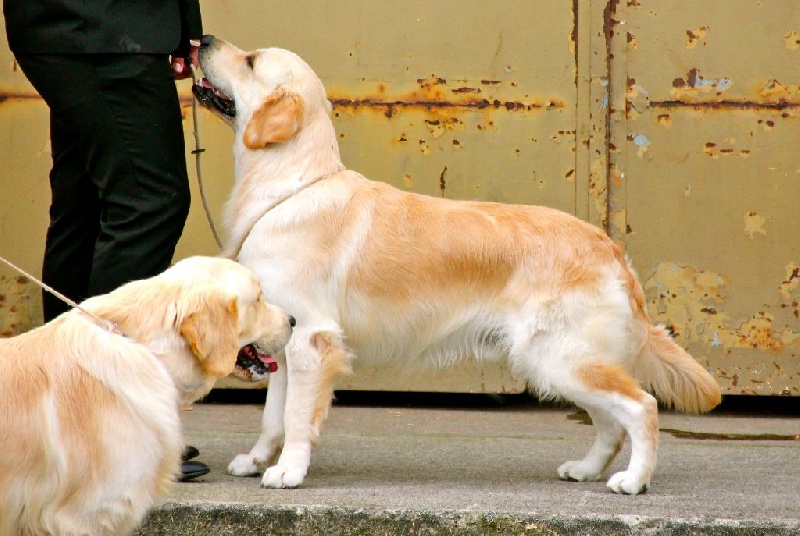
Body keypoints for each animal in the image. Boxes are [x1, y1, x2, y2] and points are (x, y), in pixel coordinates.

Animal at [195, 36, 722, 495]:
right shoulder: (283, 343)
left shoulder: (310, 339)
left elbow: (297, 418)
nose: (201, 39)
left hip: (559, 358)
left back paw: (634, 481)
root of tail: (608, 246)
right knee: (611, 422)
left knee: (641, 407)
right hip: (563, 362)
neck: (288, 189)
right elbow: (272, 416)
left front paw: (289, 471)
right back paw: (587, 469)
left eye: (250, 61)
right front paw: (255, 460)